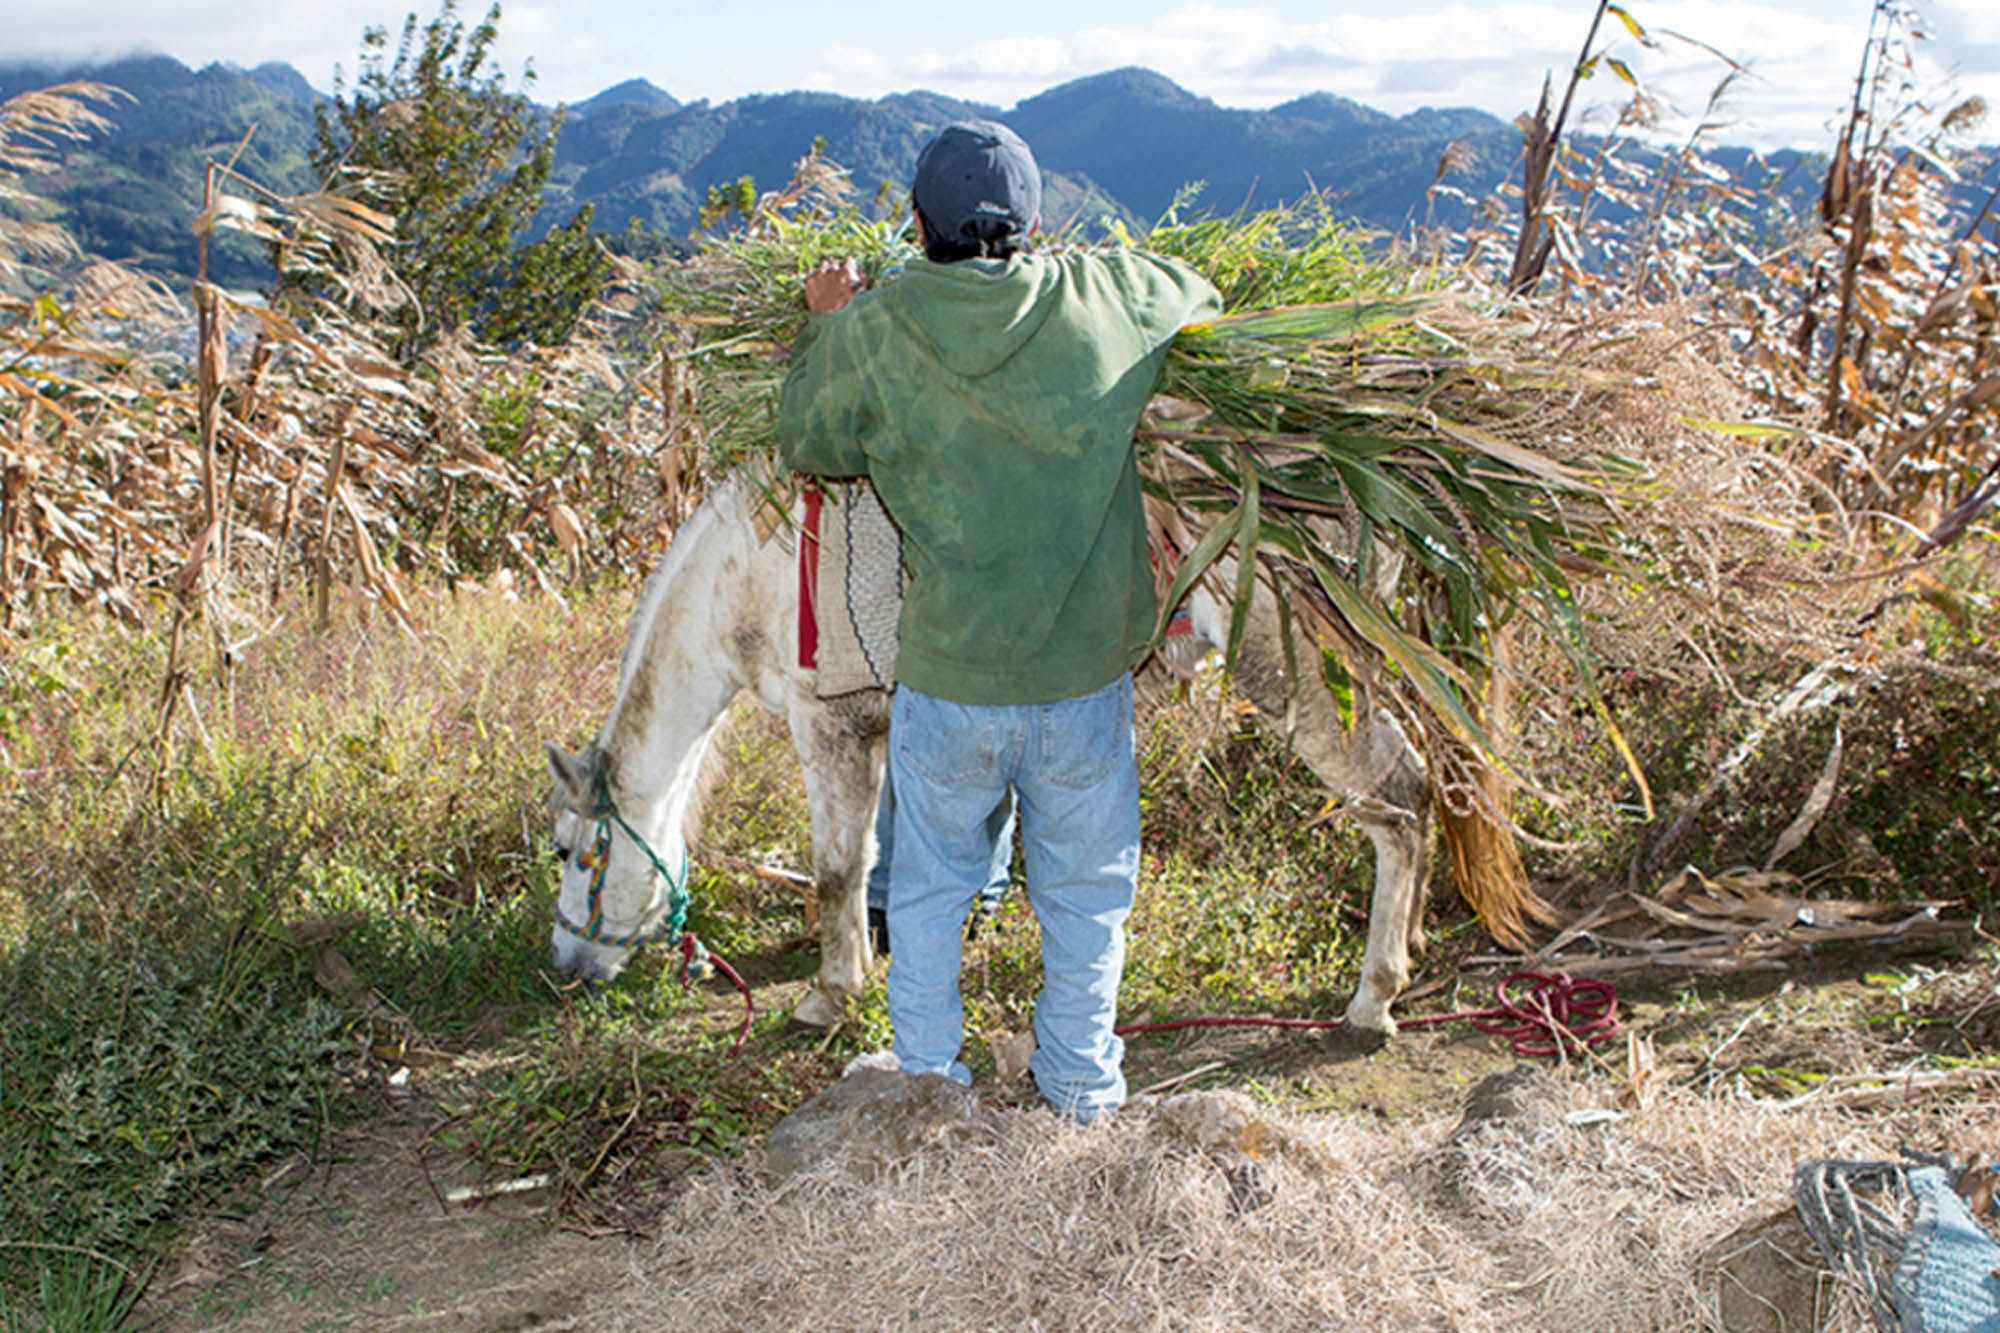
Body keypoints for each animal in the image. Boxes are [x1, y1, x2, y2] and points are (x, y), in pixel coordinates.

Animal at [548, 462, 1528, 1032]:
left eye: (569, 851)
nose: (564, 967)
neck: (744, 572)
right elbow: (897, 852)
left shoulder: (833, 722)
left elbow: (835, 867)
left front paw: (832, 993)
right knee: (1428, 785)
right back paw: (1409, 949)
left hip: (1293, 663)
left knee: (1398, 794)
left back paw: (1374, 994)